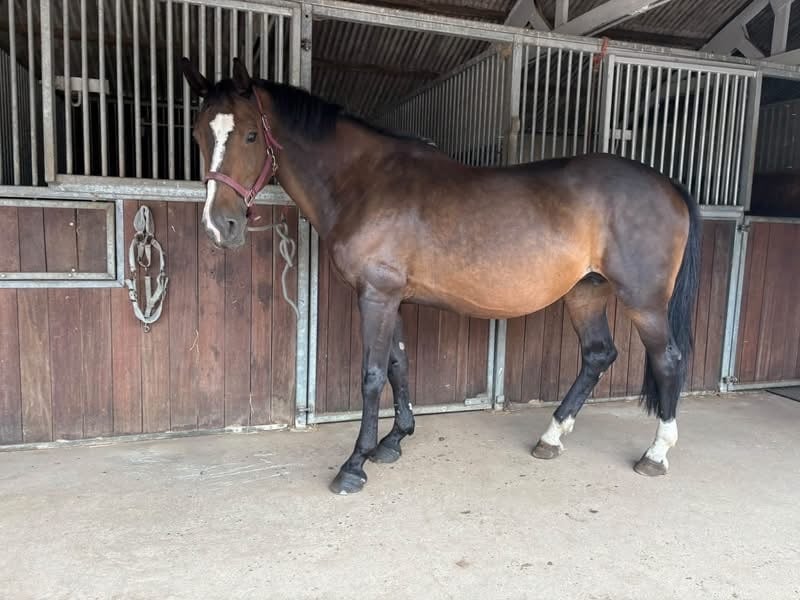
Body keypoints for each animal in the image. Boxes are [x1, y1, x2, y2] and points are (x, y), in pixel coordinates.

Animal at [180, 57, 701, 495]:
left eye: (250, 135)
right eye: (199, 134)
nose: (220, 226)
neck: (365, 181)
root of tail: (668, 185)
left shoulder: (376, 295)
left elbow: (372, 374)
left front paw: (354, 464)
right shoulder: (391, 296)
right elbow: (398, 364)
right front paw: (394, 440)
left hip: (643, 301)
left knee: (668, 359)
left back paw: (655, 454)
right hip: (586, 293)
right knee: (597, 355)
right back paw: (551, 437)